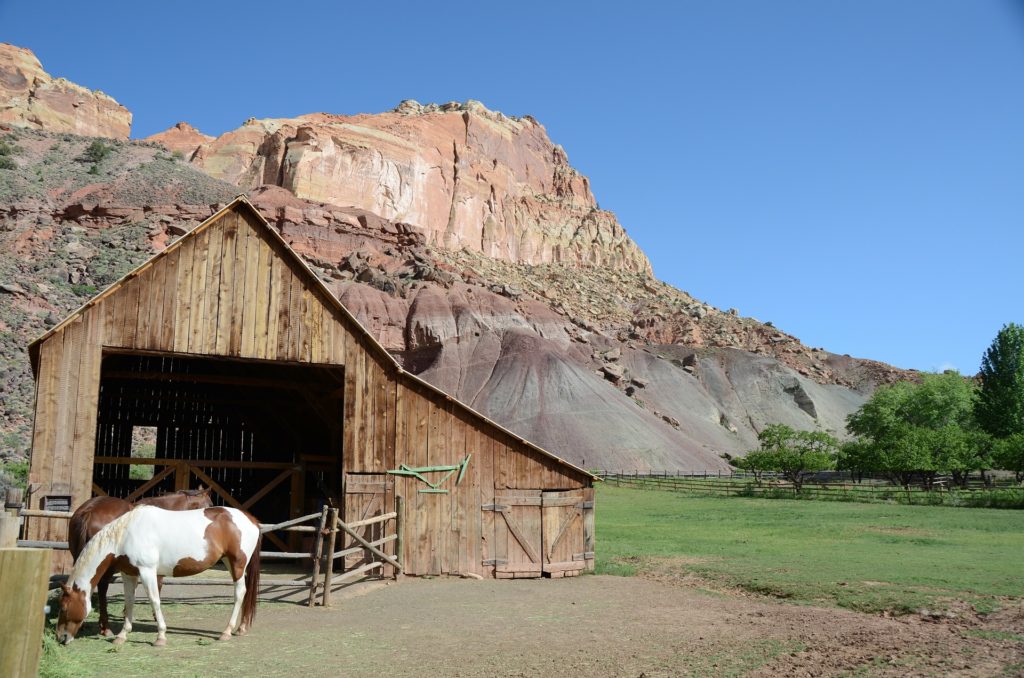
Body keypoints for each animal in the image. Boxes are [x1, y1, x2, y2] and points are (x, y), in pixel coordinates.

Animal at [56, 510, 262, 647]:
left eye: (64, 607)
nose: (60, 637)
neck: (126, 534)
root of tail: (251, 520)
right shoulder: (129, 574)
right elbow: (129, 603)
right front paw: (122, 635)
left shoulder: (147, 571)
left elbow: (155, 601)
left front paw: (160, 637)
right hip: (229, 561)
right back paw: (241, 628)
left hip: (237, 564)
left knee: (240, 593)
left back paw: (226, 632)